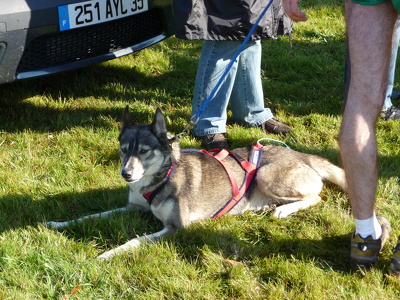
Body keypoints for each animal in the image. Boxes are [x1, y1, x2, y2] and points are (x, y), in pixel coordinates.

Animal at [46, 106, 346, 258]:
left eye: (144, 151)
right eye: (124, 150)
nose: (126, 174)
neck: (160, 179)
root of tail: (300, 154)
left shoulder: (175, 228)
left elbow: (134, 241)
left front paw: (108, 254)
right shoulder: (132, 208)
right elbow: (91, 215)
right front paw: (58, 223)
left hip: (266, 175)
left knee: (316, 196)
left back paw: (283, 210)